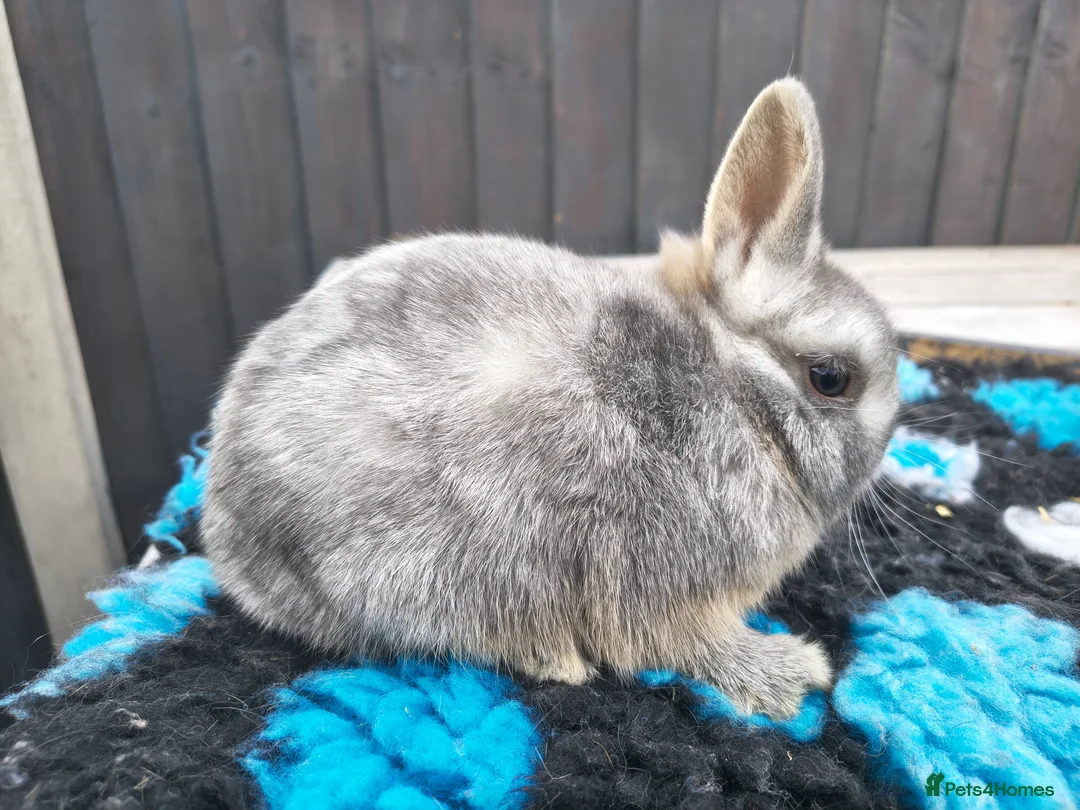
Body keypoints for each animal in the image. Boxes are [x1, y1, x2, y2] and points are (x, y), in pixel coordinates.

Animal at [200, 77, 898, 719]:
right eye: (830, 378)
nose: (889, 447)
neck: (739, 395)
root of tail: (225, 531)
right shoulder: (659, 582)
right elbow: (687, 644)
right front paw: (793, 674)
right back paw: (555, 659)